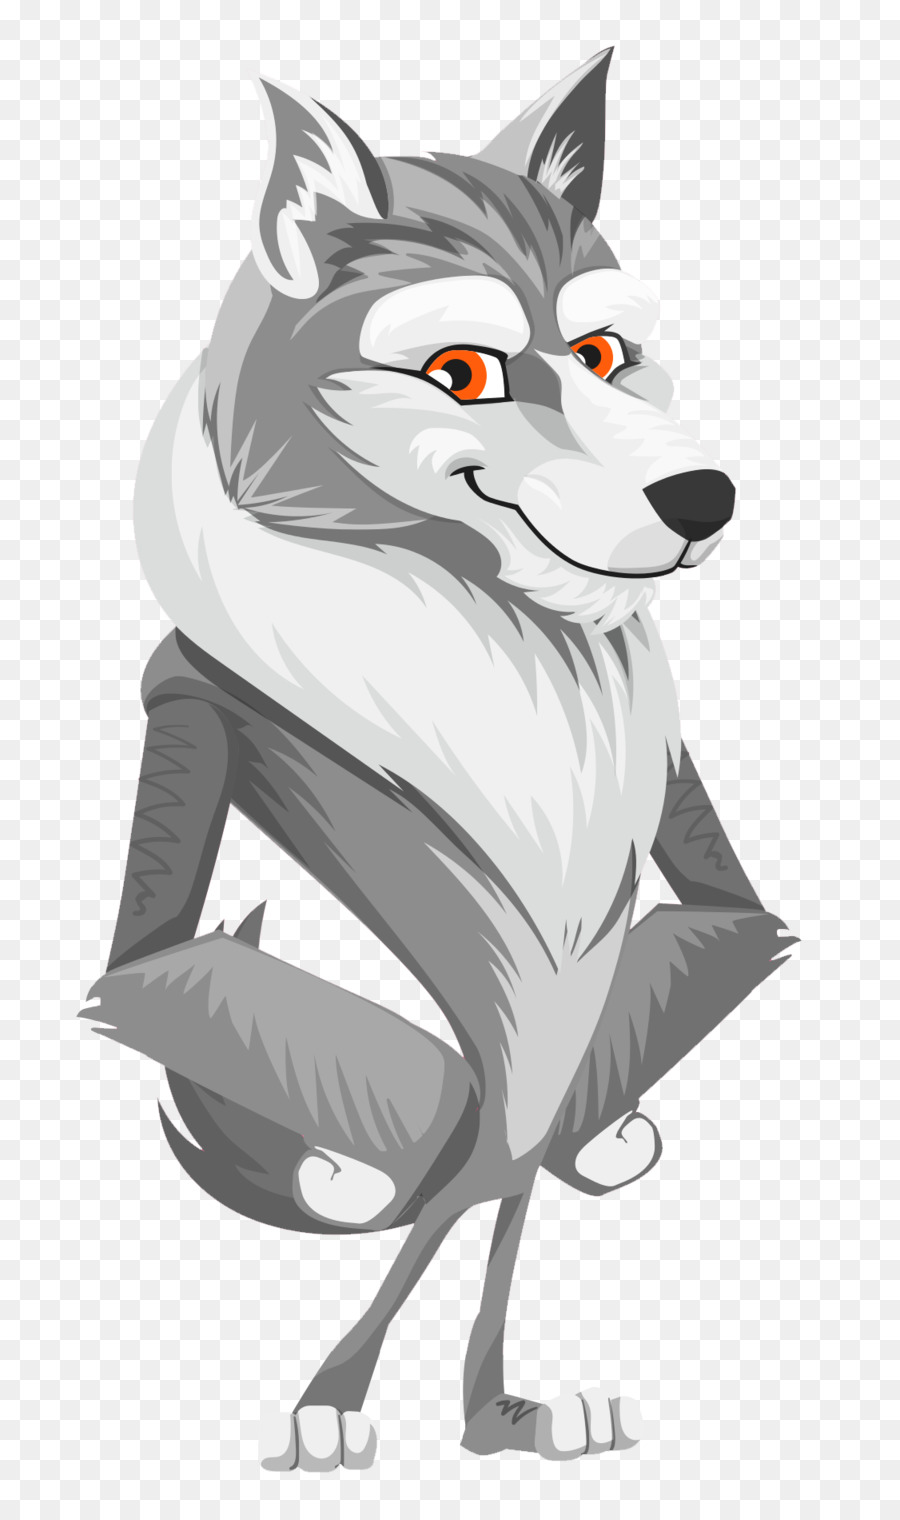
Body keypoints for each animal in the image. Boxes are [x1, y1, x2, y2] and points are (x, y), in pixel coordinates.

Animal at [83, 47, 796, 1468]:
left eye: (604, 356)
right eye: (464, 371)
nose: (706, 501)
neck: (494, 629)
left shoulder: (645, 865)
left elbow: (559, 1098)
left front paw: (498, 1405)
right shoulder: (191, 719)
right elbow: (451, 1116)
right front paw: (331, 1399)